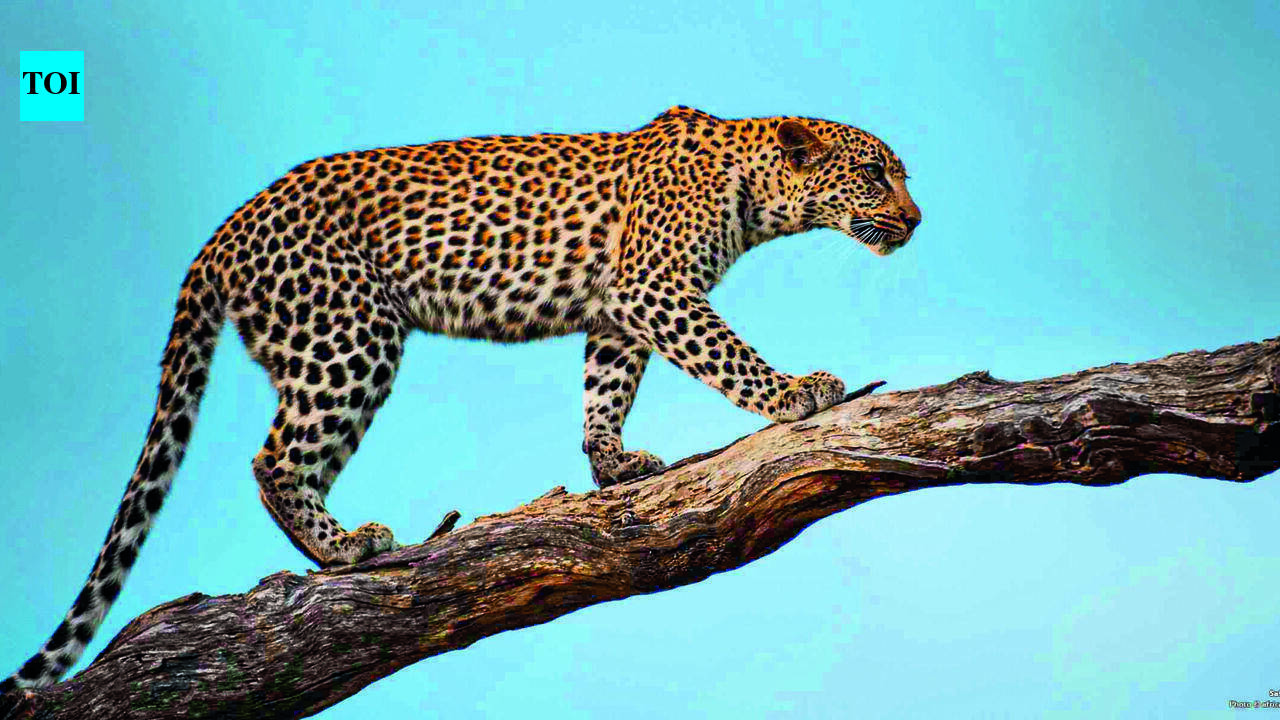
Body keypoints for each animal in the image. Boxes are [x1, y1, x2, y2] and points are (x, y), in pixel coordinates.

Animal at [1, 105, 920, 692]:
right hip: (349, 337)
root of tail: (221, 233)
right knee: (271, 459)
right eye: (874, 175)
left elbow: (605, 387)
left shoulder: (618, 307)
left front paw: (614, 465)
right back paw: (347, 549)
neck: (756, 188)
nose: (915, 220)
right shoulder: (654, 286)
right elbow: (723, 352)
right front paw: (796, 392)